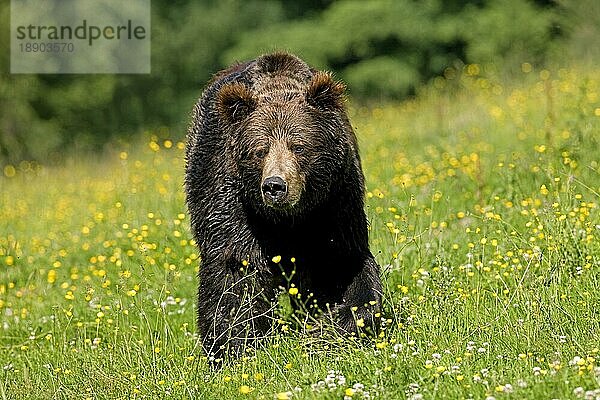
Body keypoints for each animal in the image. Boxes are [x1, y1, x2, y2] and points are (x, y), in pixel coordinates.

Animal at [184, 51, 380, 360]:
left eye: (299, 146)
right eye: (260, 150)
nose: (275, 186)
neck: (288, 218)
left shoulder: (335, 200)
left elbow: (341, 264)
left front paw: (334, 326)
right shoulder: (232, 199)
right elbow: (236, 269)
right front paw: (233, 347)